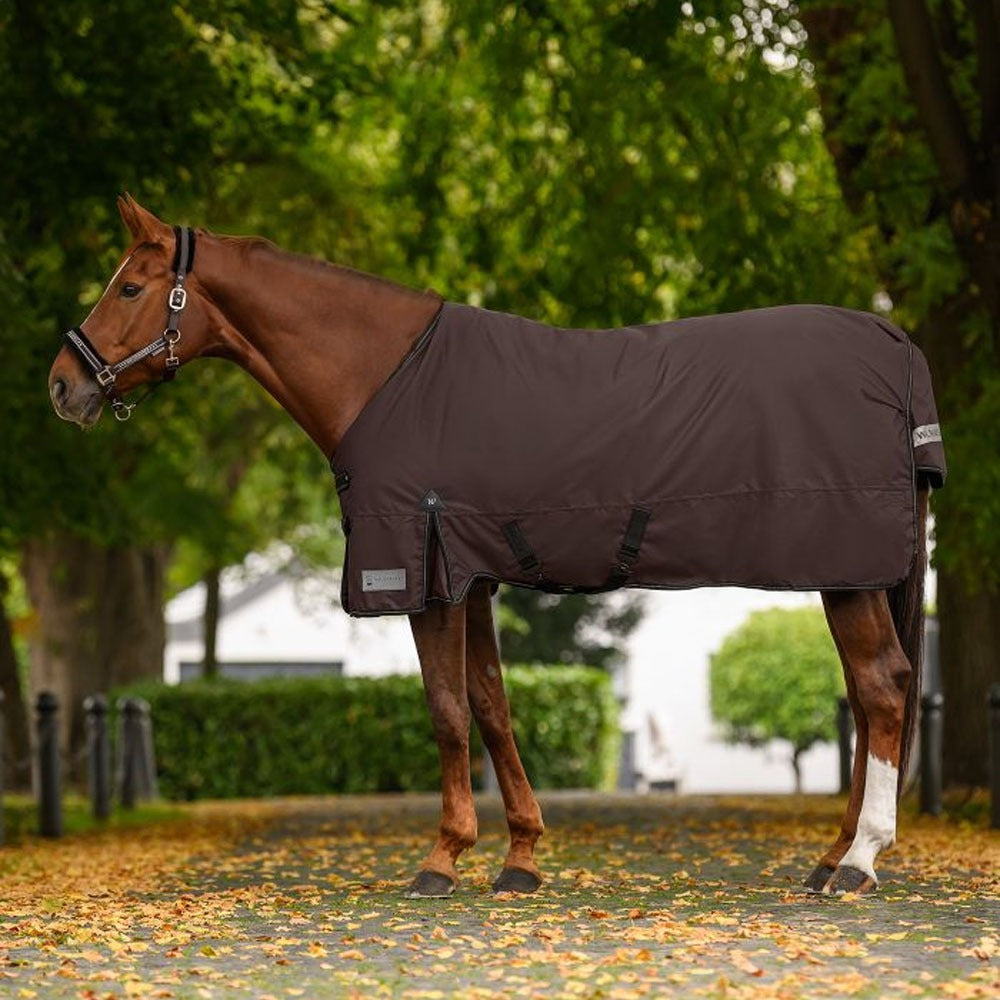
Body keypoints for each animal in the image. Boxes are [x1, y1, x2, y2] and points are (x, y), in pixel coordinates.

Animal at [49, 196, 943, 898]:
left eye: (130, 286)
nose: (64, 384)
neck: (385, 377)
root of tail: (894, 343)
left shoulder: (422, 571)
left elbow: (446, 712)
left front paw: (442, 860)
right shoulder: (468, 577)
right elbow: (492, 706)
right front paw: (520, 857)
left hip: (847, 572)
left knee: (883, 689)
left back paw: (859, 862)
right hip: (849, 574)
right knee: (865, 696)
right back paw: (830, 858)